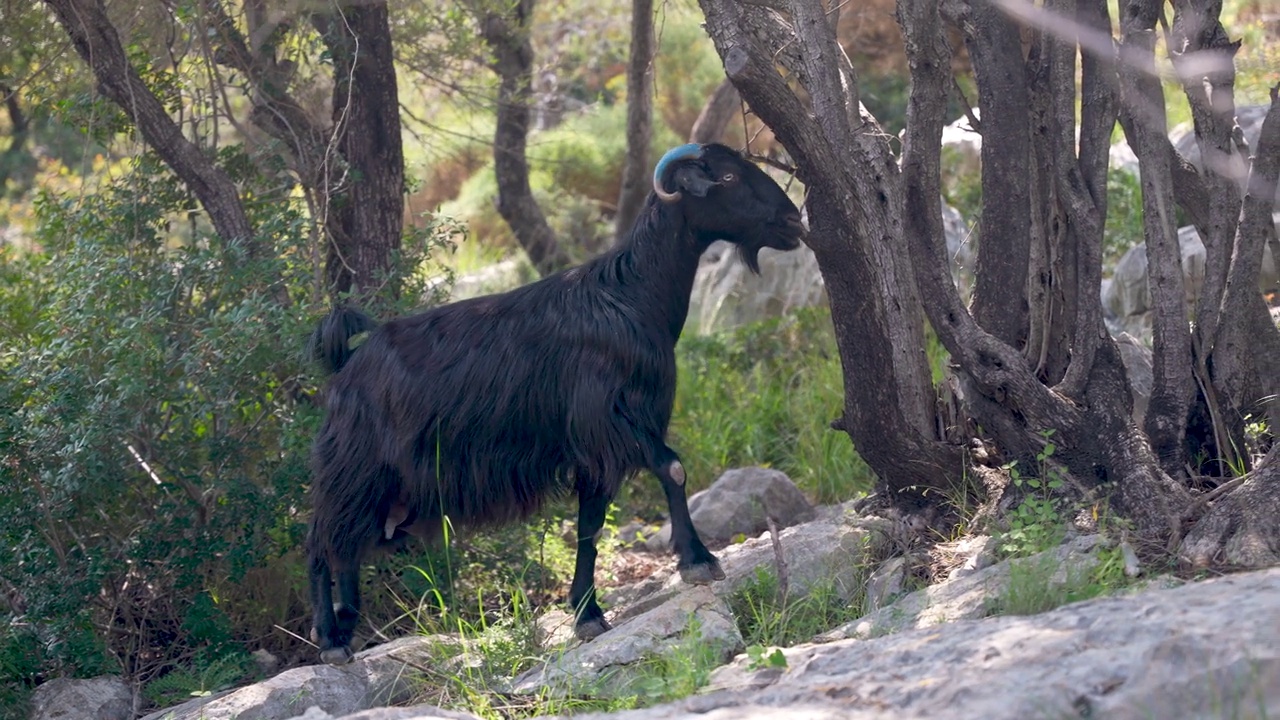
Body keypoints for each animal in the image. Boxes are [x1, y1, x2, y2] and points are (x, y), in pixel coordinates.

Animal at [305, 141, 803, 661]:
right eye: (727, 178)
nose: (794, 222)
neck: (629, 297)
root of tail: (346, 365)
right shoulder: (608, 422)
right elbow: (672, 468)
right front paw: (698, 562)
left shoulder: (598, 450)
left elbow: (591, 525)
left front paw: (587, 613)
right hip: (353, 469)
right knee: (319, 541)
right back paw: (330, 639)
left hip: (388, 491)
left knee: (349, 542)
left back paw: (346, 622)